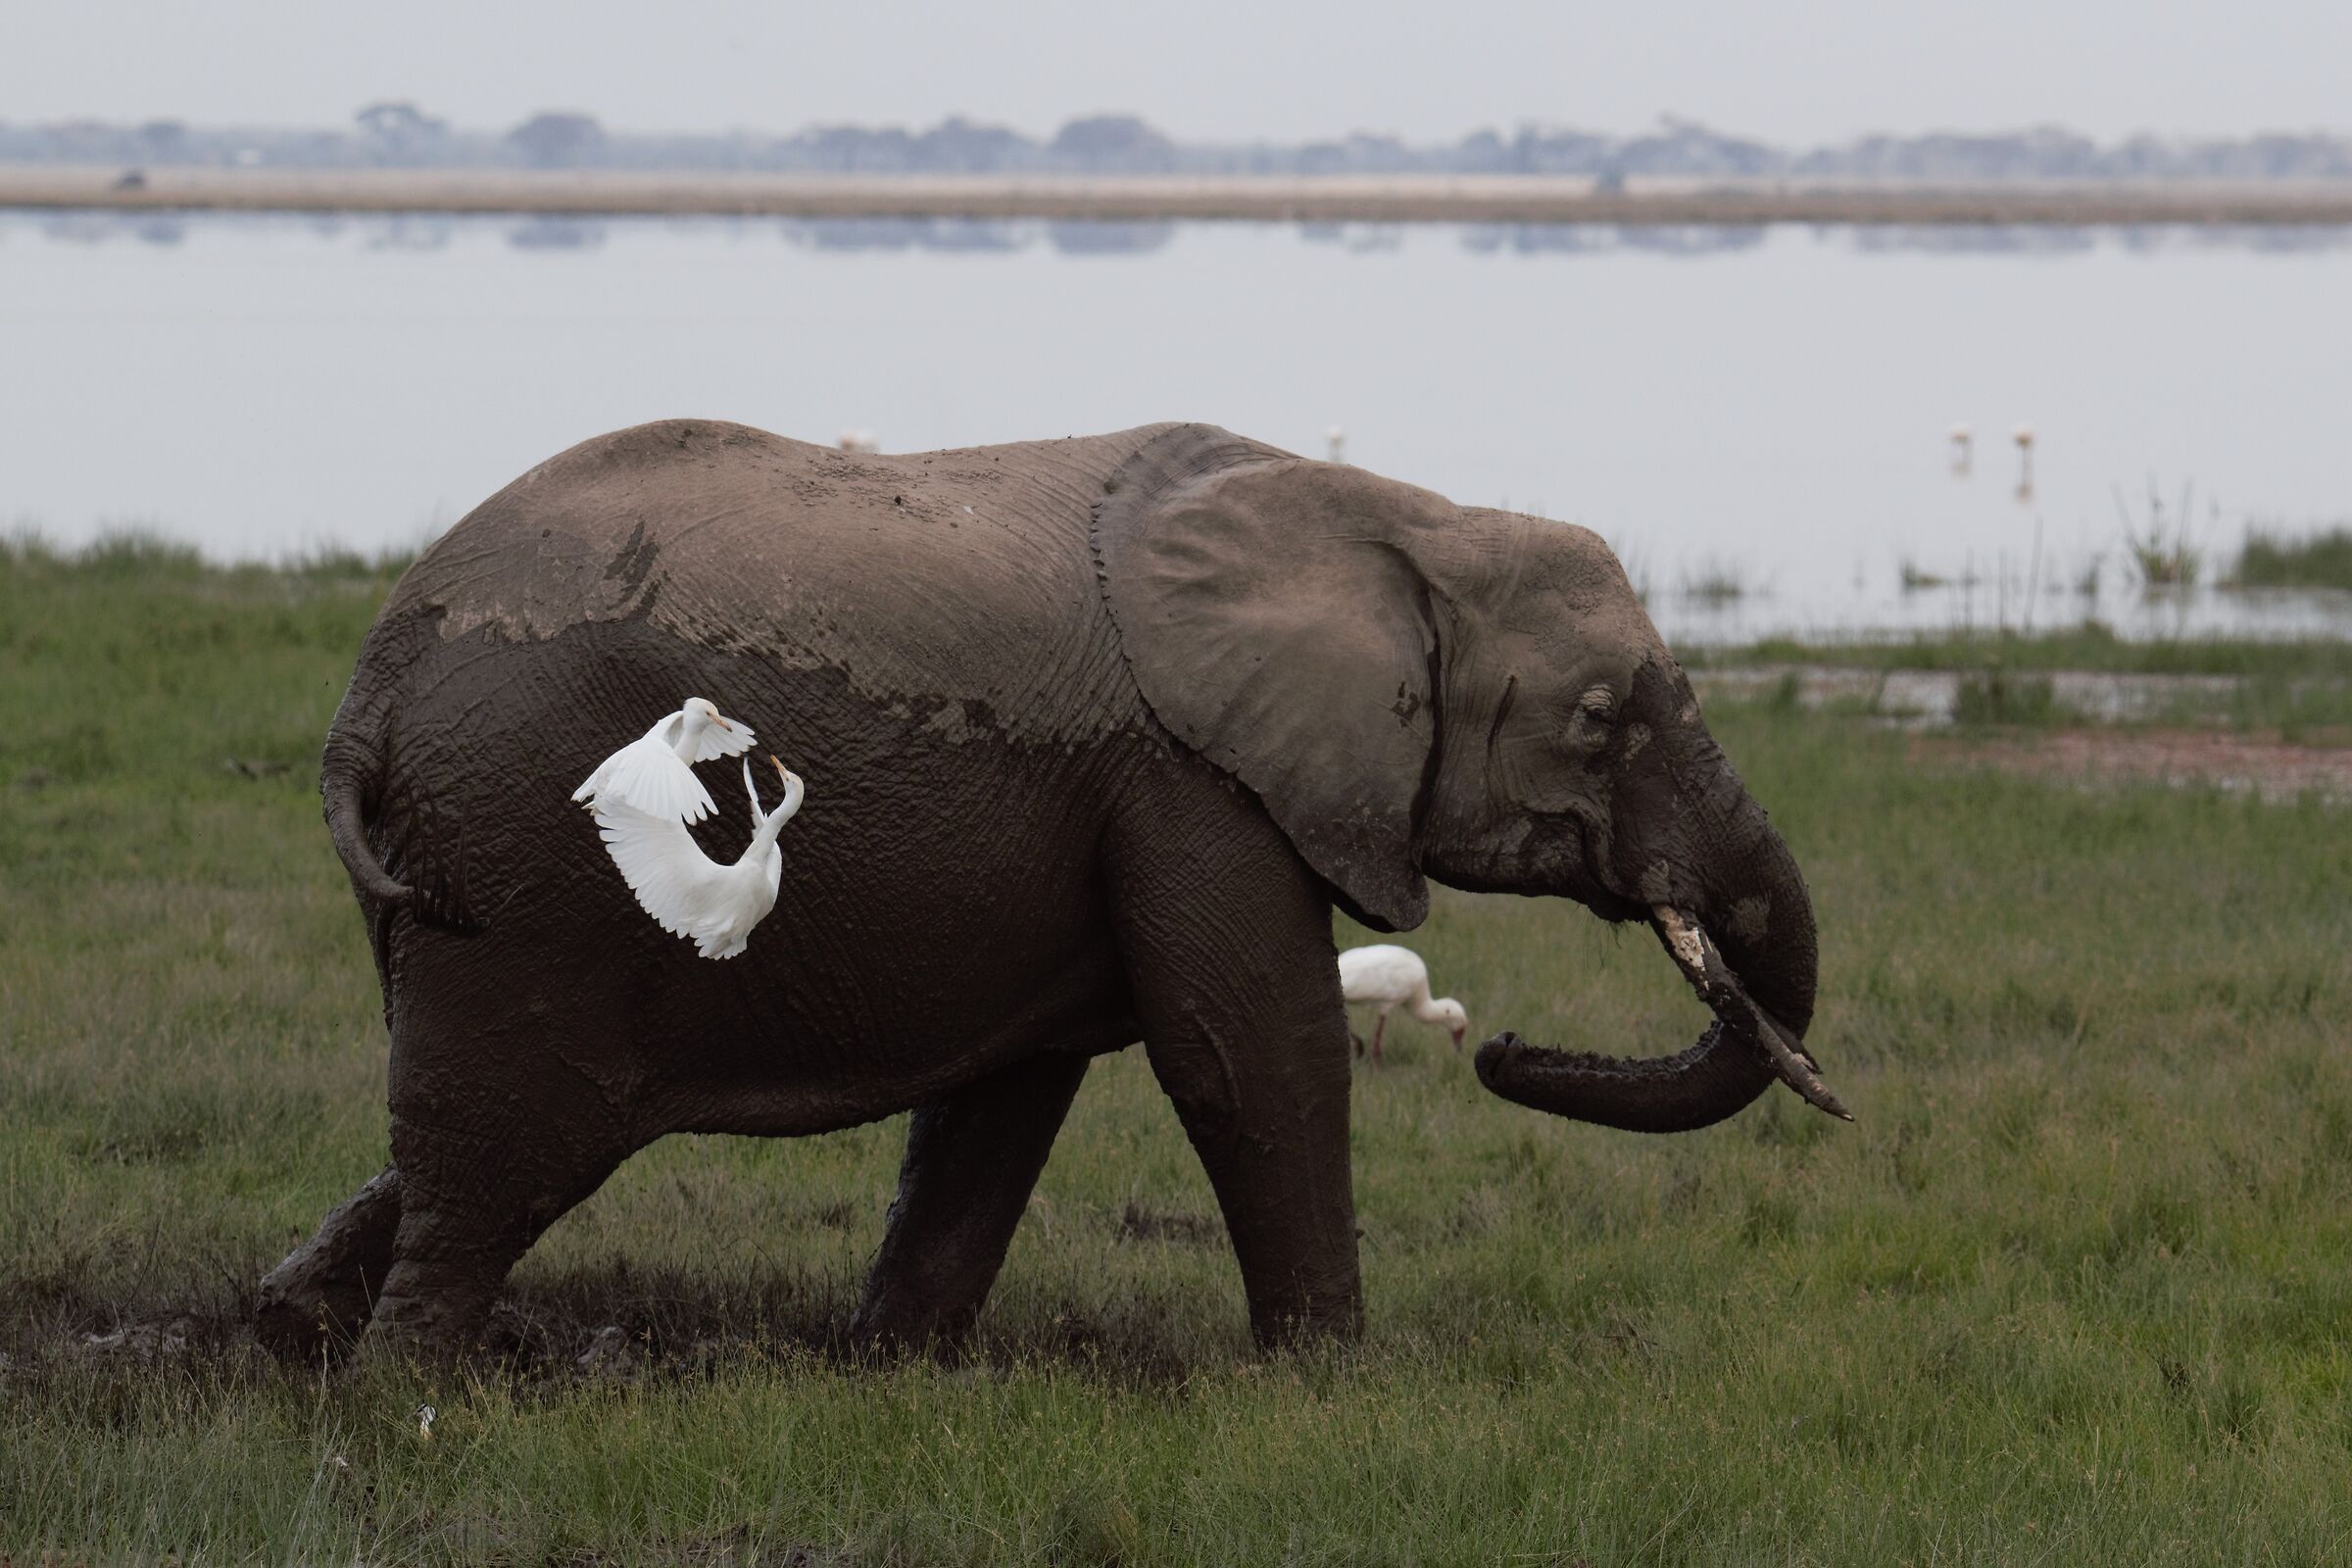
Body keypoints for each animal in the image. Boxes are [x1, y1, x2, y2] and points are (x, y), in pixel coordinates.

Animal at [254, 419, 1836, 1358]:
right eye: (1601, 722)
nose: (1506, 1050)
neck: (1399, 515)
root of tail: (369, 688)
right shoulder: (1197, 781)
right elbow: (1250, 1051)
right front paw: (1331, 1376)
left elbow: (1001, 1098)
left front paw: (894, 1366)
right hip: (528, 852)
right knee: (512, 1138)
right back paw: (411, 1383)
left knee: (497, 1131)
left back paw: (291, 1326)